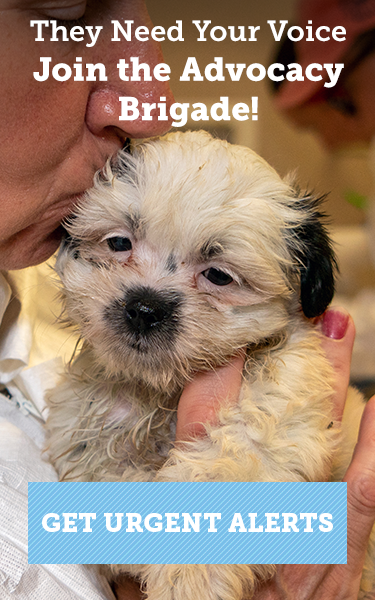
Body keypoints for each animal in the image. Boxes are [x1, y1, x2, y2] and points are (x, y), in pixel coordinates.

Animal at [46, 131, 374, 600]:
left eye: (218, 275)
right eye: (119, 243)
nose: (144, 308)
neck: (162, 392)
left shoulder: (278, 410)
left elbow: (231, 458)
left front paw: (189, 576)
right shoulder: (82, 434)